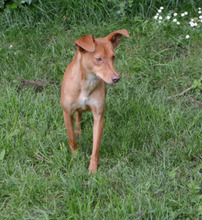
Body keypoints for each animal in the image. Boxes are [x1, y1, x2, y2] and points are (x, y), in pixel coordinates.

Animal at [60, 29, 129, 174]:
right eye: (98, 59)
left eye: (113, 57)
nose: (116, 78)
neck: (86, 84)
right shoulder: (66, 113)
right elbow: (71, 139)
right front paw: (75, 158)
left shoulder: (99, 117)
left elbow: (95, 147)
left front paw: (92, 169)